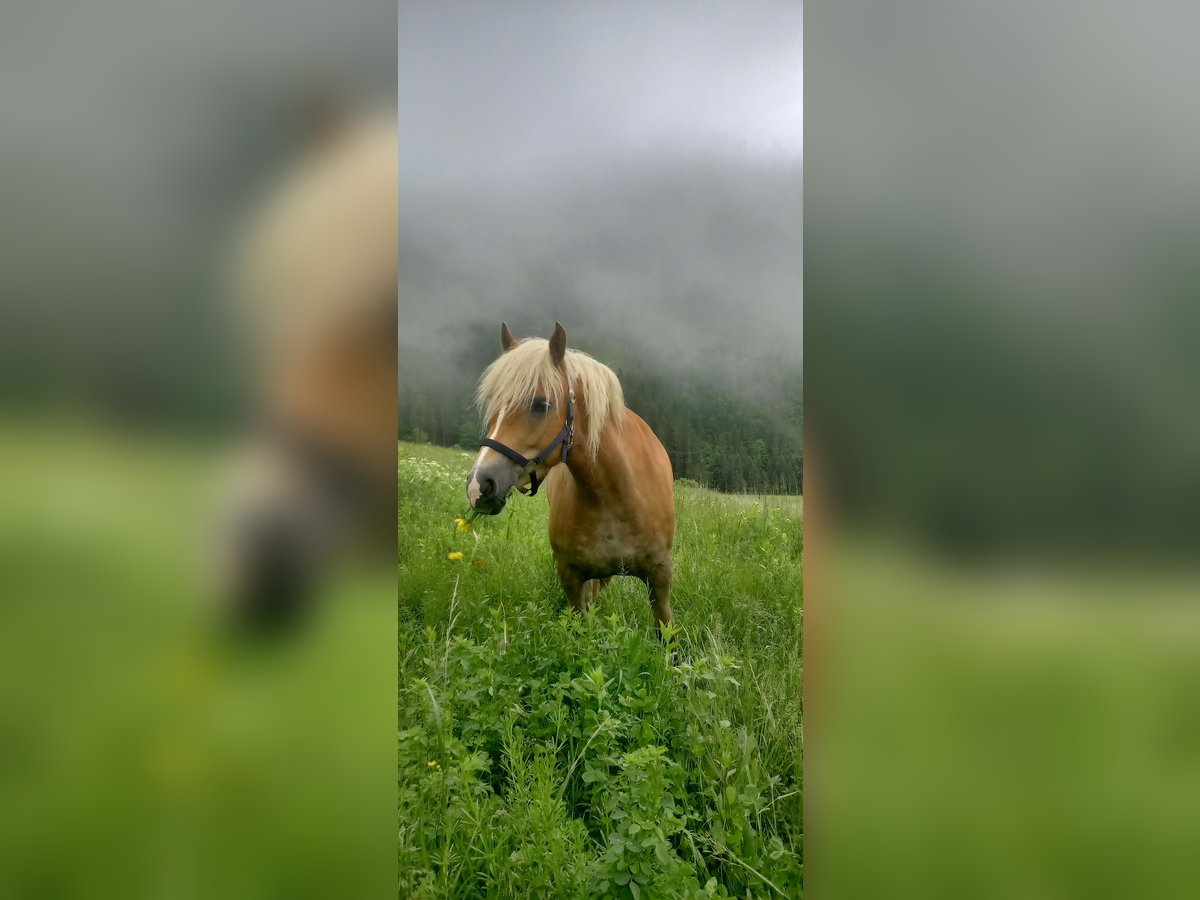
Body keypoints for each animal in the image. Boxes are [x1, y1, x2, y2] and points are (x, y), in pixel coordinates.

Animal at [466, 322, 676, 632]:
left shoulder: (660, 578)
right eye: (493, 403)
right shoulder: (571, 576)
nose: (478, 486)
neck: (617, 496)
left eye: (542, 404)